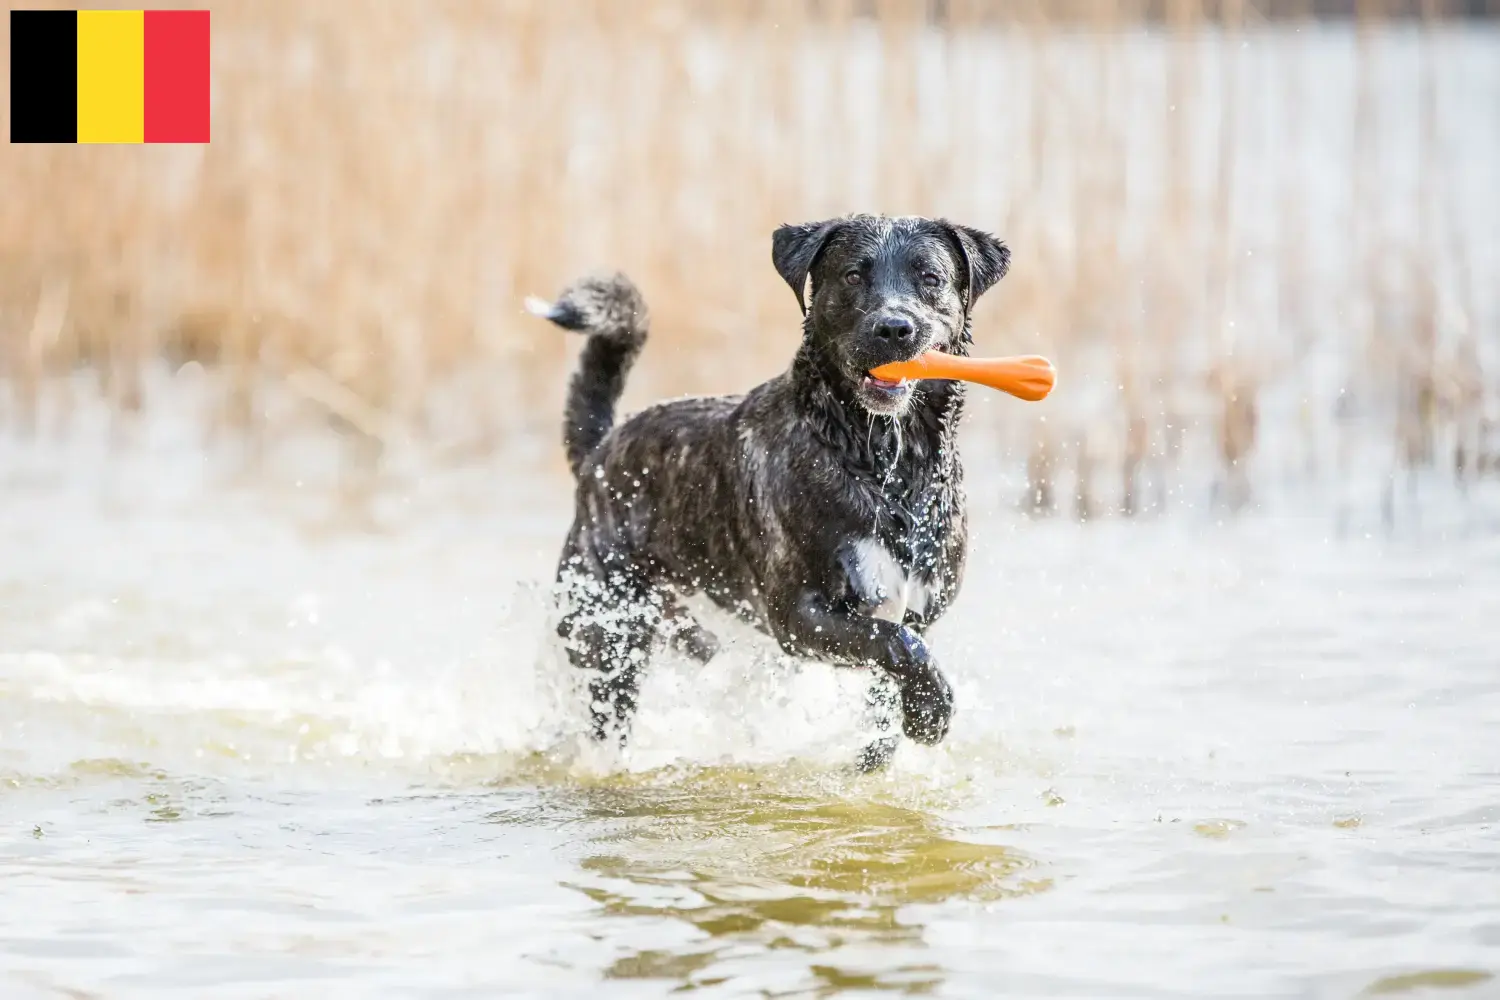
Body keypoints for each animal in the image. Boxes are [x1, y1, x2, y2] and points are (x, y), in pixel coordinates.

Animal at [528, 212, 1008, 773]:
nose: (894, 327)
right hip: (607, 629)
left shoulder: (917, 608)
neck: (882, 459)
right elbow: (893, 642)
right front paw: (931, 710)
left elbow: (889, 691)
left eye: (930, 278)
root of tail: (600, 453)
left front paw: (889, 745)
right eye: (853, 275)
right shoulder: (798, 616)